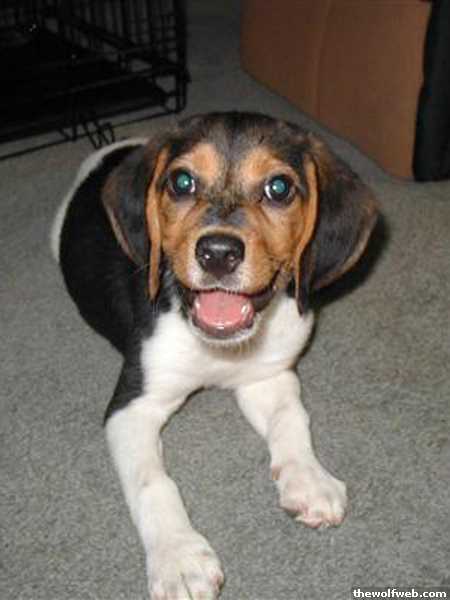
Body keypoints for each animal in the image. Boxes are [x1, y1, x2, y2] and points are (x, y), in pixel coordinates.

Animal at [51, 111, 378, 599]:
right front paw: (179, 558)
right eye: (182, 182)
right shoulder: (133, 406)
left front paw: (309, 479)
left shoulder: (268, 376)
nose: (218, 253)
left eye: (279, 188)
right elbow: (154, 482)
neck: (217, 346)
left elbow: (293, 420)